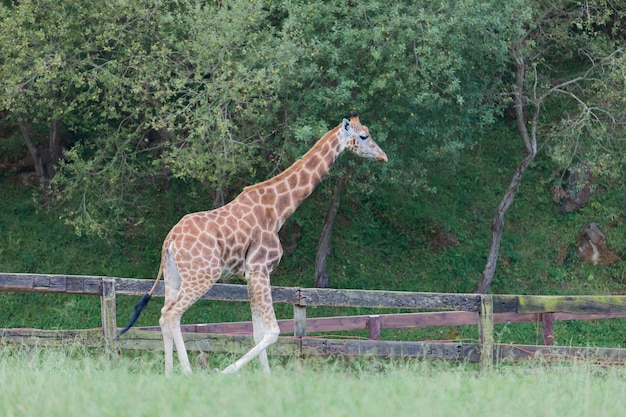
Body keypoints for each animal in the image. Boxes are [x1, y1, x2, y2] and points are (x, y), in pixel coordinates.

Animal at [114, 111, 382, 374]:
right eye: (364, 135)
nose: (383, 155)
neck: (278, 210)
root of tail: (169, 240)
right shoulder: (260, 269)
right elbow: (273, 331)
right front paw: (226, 371)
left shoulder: (250, 275)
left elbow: (257, 332)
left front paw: (265, 378)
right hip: (202, 275)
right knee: (172, 314)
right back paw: (189, 374)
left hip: (173, 276)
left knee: (163, 315)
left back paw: (170, 375)